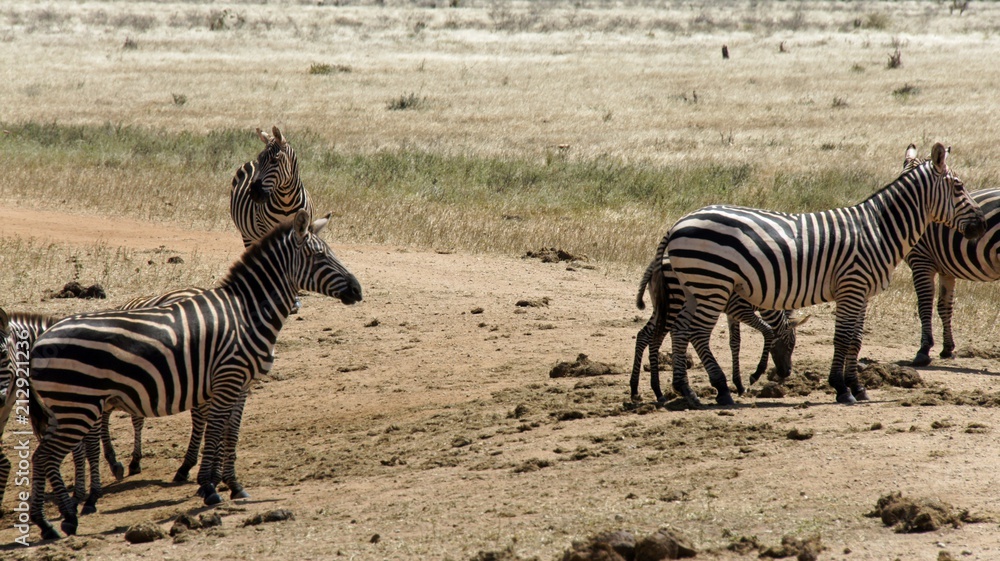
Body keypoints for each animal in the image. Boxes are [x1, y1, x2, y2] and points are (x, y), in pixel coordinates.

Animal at [13, 210, 362, 539]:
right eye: (319, 256)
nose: (357, 290)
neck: (246, 314)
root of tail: (41, 340)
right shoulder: (227, 379)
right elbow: (215, 430)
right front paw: (209, 488)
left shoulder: (242, 385)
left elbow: (231, 433)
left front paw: (234, 485)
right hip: (78, 406)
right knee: (43, 458)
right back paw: (52, 522)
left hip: (64, 408)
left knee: (43, 456)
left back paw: (59, 519)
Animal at [630, 257, 805, 402]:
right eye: (791, 344)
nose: (786, 373)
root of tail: (654, 264)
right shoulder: (739, 309)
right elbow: (767, 330)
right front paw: (755, 374)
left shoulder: (732, 313)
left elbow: (735, 342)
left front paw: (739, 385)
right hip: (674, 304)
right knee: (654, 337)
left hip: (662, 307)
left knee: (645, 336)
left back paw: (644, 390)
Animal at [660, 143, 986, 407]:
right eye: (959, 187)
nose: (981, 225)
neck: (879, 230)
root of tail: (679, 222)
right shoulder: (851, 286)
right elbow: (842, 339)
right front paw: (841, 388)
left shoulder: (862, 293)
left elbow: (855, 340)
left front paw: (858, 387)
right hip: (712, 285)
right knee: (697, 333)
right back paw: (722, 391)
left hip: (694, 287)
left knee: (680, 329)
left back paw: (687, 391)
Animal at [899, 145, 1000, 366]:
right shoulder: (946, 269)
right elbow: (944, 306)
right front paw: (947, 349)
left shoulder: (921, 261)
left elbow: (924, 304)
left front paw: (924, 349)